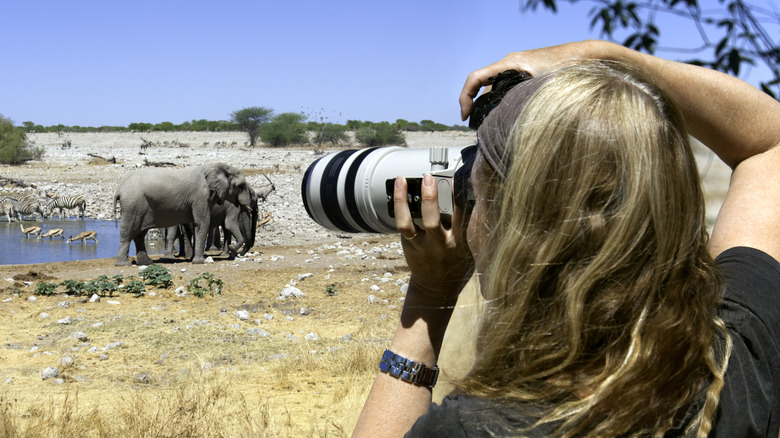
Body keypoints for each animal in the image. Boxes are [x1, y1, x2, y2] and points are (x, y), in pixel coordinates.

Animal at [112, 163, 251, 266]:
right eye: (241, 186)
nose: (234, 249)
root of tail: (119, 190)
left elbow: (196, 225)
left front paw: (193, 259)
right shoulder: (200, 197)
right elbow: (202, 223)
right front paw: (199, 262)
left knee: (140, 234)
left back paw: (146, 262)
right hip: (132, 204)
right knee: (128, 232)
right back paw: (124, 264)